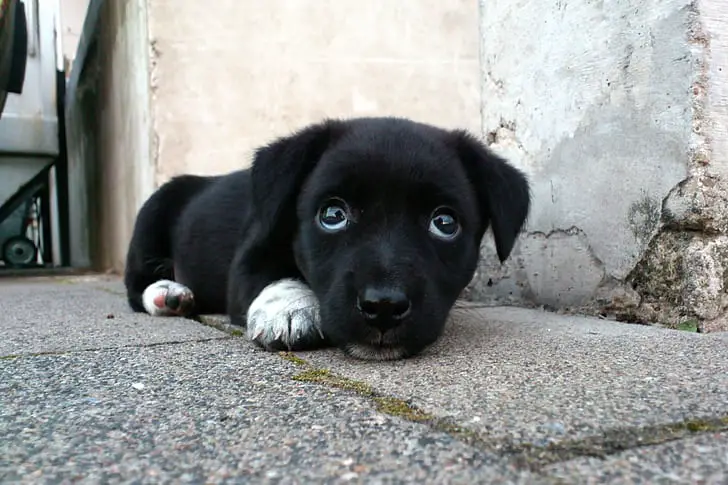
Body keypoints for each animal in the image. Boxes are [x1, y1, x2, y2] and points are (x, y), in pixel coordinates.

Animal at [122, 117, 528, 360]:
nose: (383, 306)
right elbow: (275, 277)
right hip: (151, 213)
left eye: (444, 223)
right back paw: (168, 294)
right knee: (135, 286)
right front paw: (289, 310)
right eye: (332, 216)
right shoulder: (248, 260)